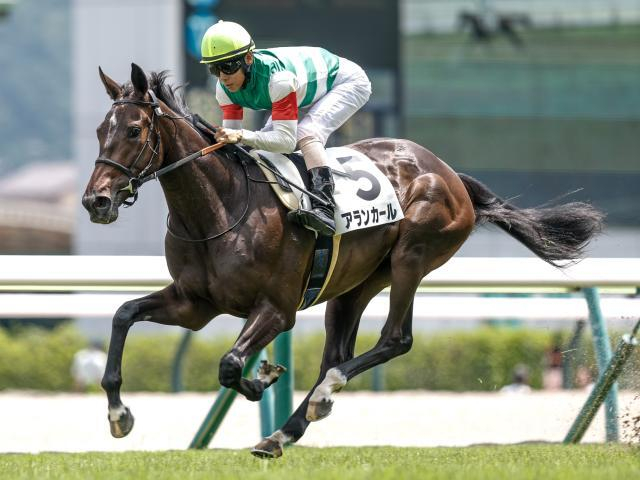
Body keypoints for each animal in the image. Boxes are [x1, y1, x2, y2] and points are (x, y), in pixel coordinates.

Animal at [82, 63, 603, 458]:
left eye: (134, 130)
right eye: (100, 131)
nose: (96, 201)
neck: (222, 208)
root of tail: (450, 173)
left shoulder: (277, 309)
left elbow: (230, 364)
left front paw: (261, 377)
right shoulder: (195, 304)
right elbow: (123, 314)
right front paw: (118, 414)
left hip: (412, 257)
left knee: (394, 340)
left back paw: (321, 398)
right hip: (355, 283)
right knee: (338, 353)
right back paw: (282, 433)